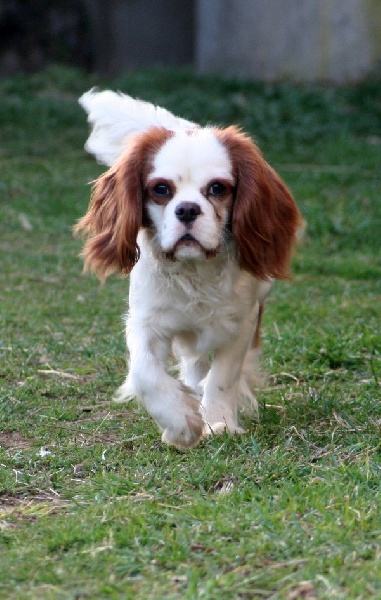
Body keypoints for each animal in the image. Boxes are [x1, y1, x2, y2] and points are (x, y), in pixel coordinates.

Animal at [74, 88, 300, 446]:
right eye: (161, 189)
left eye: (218, 188)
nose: (188, 209)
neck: (194, 272)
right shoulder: (147, 322)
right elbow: (145, 373)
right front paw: (180, 421)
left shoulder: (242, 322)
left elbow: (223, 375)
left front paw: (219, 421)